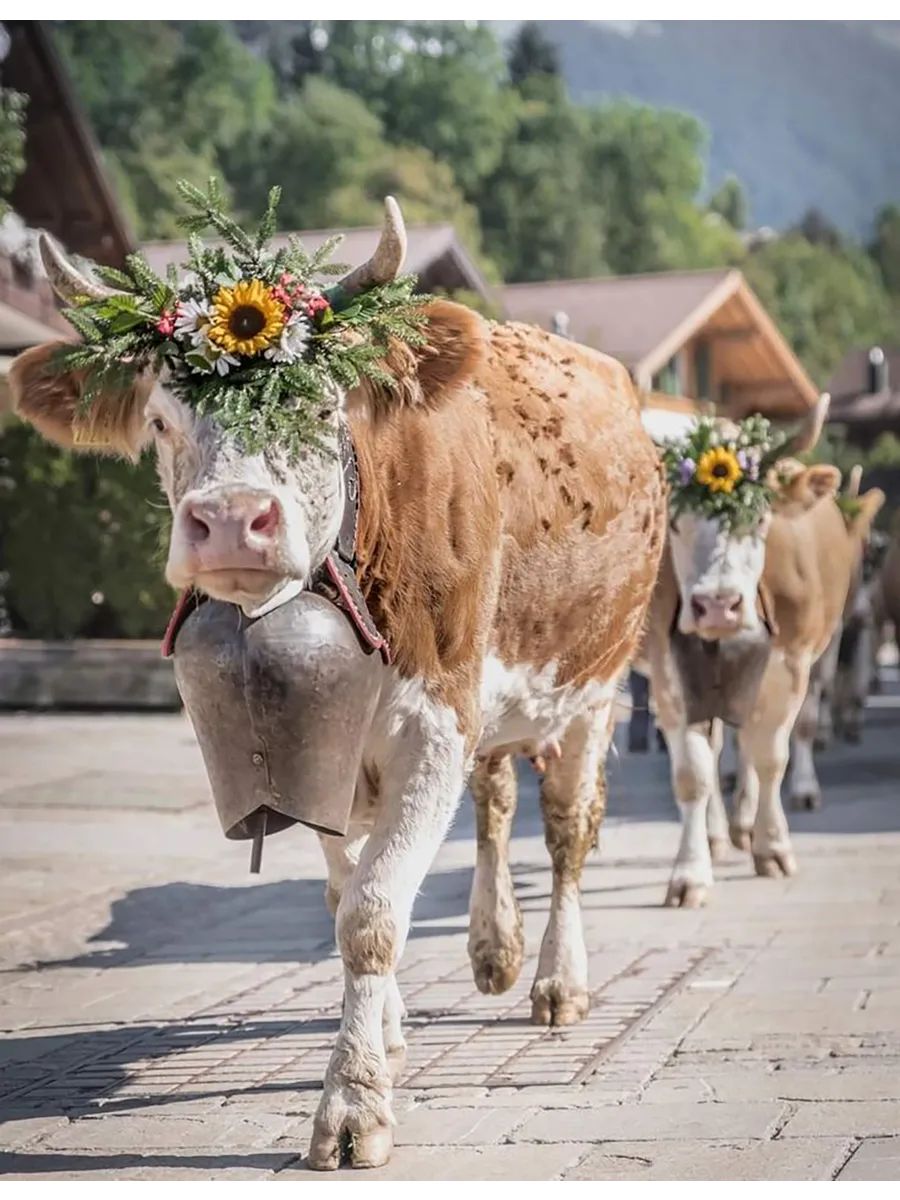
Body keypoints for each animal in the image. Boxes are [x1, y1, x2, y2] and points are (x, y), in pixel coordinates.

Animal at [9, 200, 665, 1170]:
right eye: (160, 420)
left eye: (322, 406)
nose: (231, 521)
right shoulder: (310, 750)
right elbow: (338, 894)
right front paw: (382, 1036)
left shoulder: (436, 720)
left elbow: (374, 912)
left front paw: (353, 1104)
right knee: (496, 803)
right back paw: (493, 947)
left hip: (595, 685)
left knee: (567, 834)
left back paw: (556, 977)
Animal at [643, 409, 884, 907]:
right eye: (675, 523)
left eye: (758, 518)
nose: (717, 605)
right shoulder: (668, 670)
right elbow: (693, 772)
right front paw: (690, 873)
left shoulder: (793, 663)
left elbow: (773, 754)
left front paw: (772, 845)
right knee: (721, 748)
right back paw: (719, 832)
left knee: (750, 743)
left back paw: (744, 824)